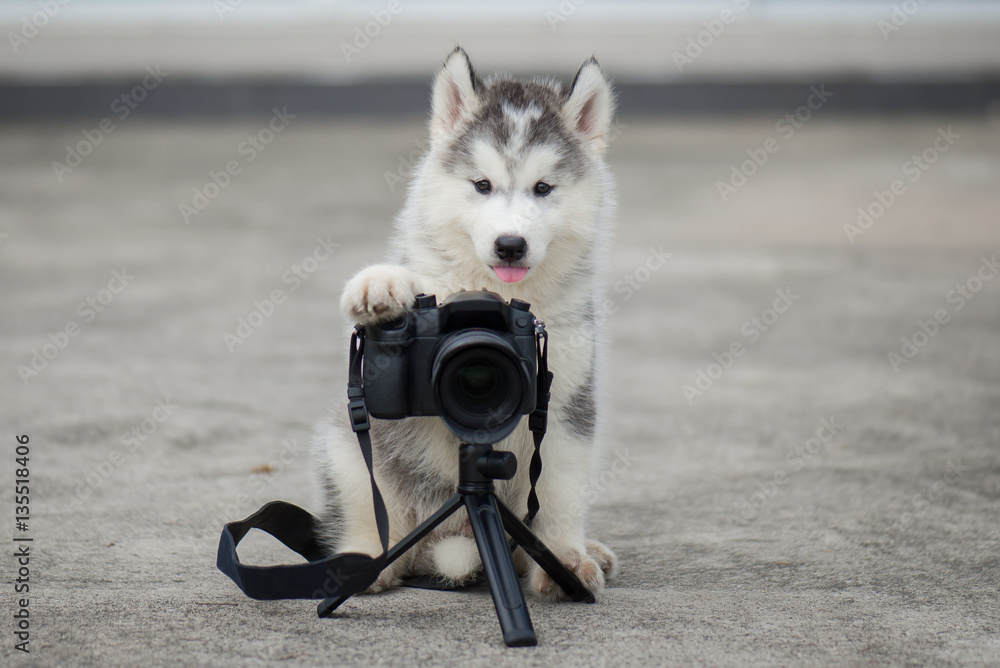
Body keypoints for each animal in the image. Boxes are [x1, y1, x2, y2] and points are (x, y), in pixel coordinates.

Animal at [314, 48, 616, 600]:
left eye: (543, 188)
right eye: (482, 185)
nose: (510, 245)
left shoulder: (566, 404)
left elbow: (559, 494)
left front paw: (564, 560)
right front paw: (381, 285)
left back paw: (587, 551)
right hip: (343, 449)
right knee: (373, 514)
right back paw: (365, 561)